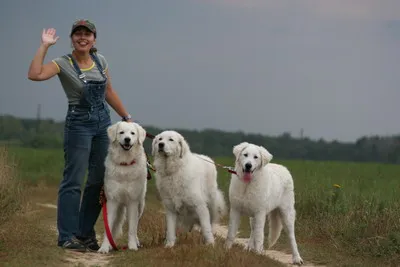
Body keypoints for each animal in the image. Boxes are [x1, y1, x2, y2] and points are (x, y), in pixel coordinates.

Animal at [97, 122, 148, 254]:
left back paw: (136, 242)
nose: (127, 139)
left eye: (132, 133)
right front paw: (104, 247)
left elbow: (132, 229)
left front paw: (132, 246)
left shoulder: (133, 202)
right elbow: (108, 228)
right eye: (121, 132)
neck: (125, 164)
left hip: (140, 205)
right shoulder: (112, 201)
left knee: (136, 226)